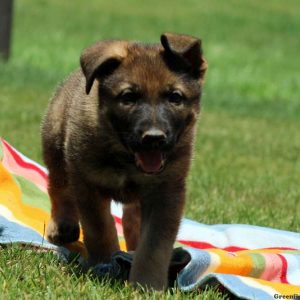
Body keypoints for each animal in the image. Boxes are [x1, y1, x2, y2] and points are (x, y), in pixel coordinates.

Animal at [41, 32, 206, 290]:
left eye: (175, 97)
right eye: (128, 97)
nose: (154, 138)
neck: (125, 158)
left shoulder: (165, 194)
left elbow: (153, 246)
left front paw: (146, 283)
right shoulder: (88, 184)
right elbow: (100, 229)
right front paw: (107, 264)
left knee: (131, 219)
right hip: (55, 145)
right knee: (59, 189)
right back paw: (63, 225)